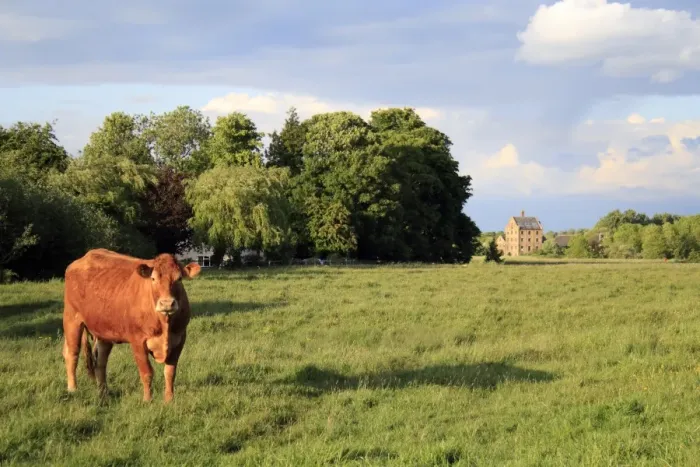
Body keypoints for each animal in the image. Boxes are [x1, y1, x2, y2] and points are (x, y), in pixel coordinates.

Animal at [62, 248, 201, 402]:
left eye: (179, 279)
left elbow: (170, 372)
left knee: (100, 362)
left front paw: (169, 400)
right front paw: (147, 400)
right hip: (72, 319)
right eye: (153, 279)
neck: (165, 324)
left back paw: (104, 392)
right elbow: (146, 372)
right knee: (72, 353)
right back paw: (72, 389)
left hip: (104, 331)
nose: (167, 304)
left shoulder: (180, 338)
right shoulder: (138, 341)